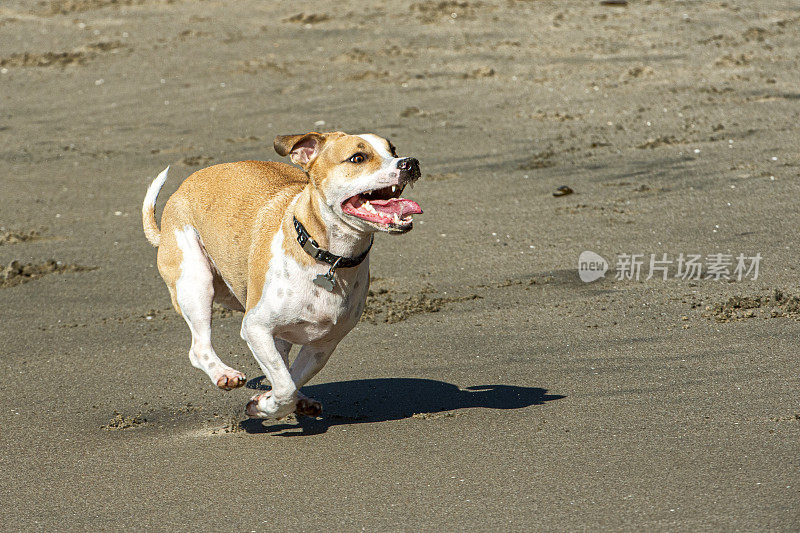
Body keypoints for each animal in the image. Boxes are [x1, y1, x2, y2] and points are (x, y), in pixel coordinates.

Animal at [141, 131, 422, 418]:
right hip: (195, 283)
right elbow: (285, 387)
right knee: (199, 348)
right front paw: (264, 406)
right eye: (358, 158)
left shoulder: (323, 345)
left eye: (393, 150)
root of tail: (183, 186)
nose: (410, 163)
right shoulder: (255, 327)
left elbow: (292, 378)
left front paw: (267, 401)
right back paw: (224, 374)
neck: (329, 258)